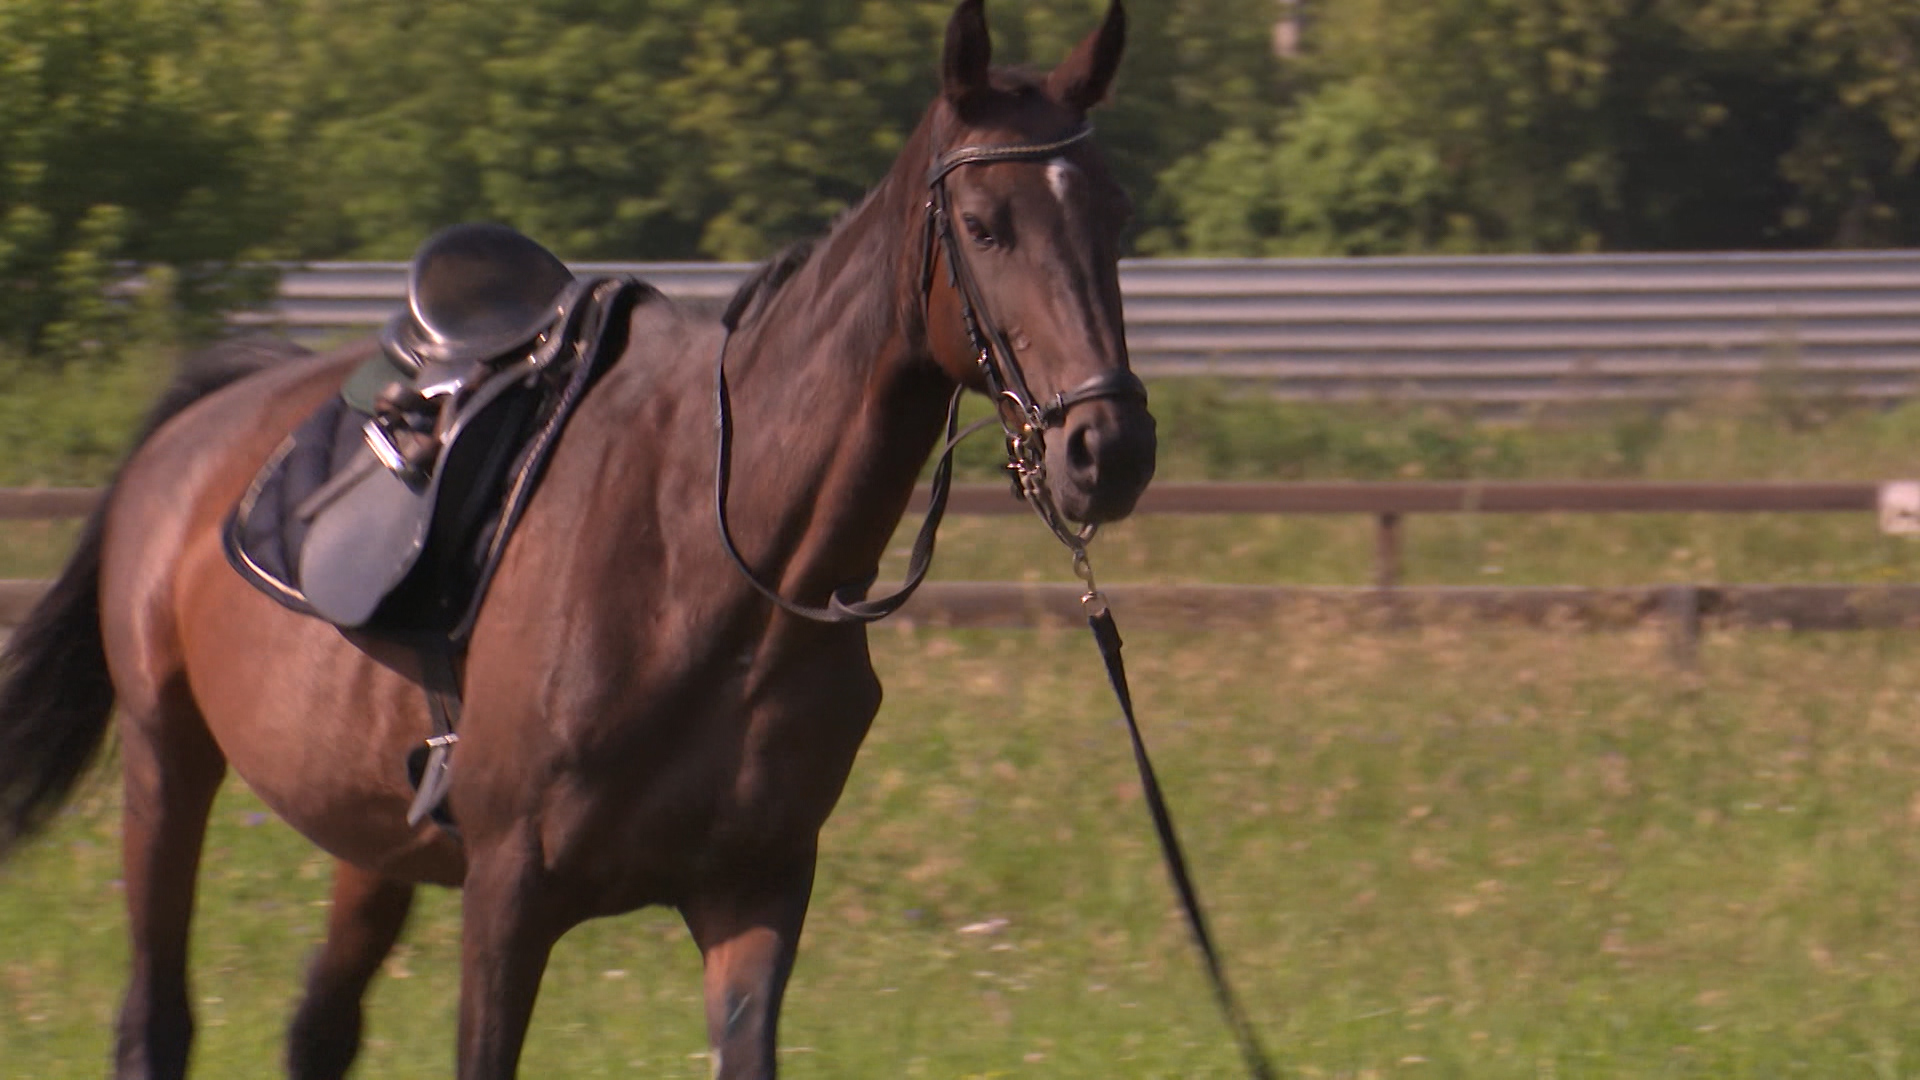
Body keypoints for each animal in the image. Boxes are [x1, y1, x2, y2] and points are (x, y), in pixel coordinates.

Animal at [0, 1, 1154, 1076]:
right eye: (985, 223)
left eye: (1114, 214)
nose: (1110, 448)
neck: (718, 568)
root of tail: (200, 423)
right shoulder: (510, 895)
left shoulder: (754, 893)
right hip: (166, 764)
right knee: (156, 1020)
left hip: (369, 834)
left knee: (319, 1029)